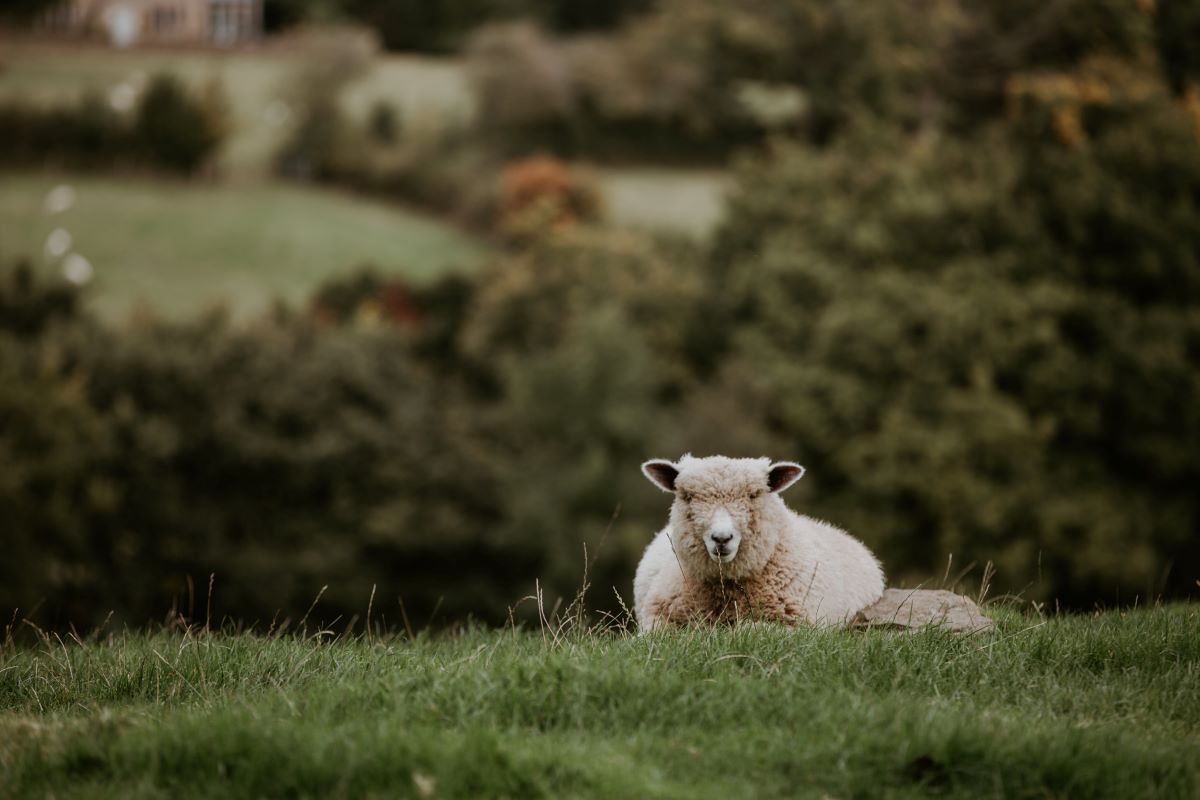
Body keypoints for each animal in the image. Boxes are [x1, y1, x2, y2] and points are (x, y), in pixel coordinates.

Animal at [633, 455, 888, 633]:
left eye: (754, 495)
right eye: (688, 497)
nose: (722, 538)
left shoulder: (797, 626)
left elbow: (748, 630)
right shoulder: (656, 617)